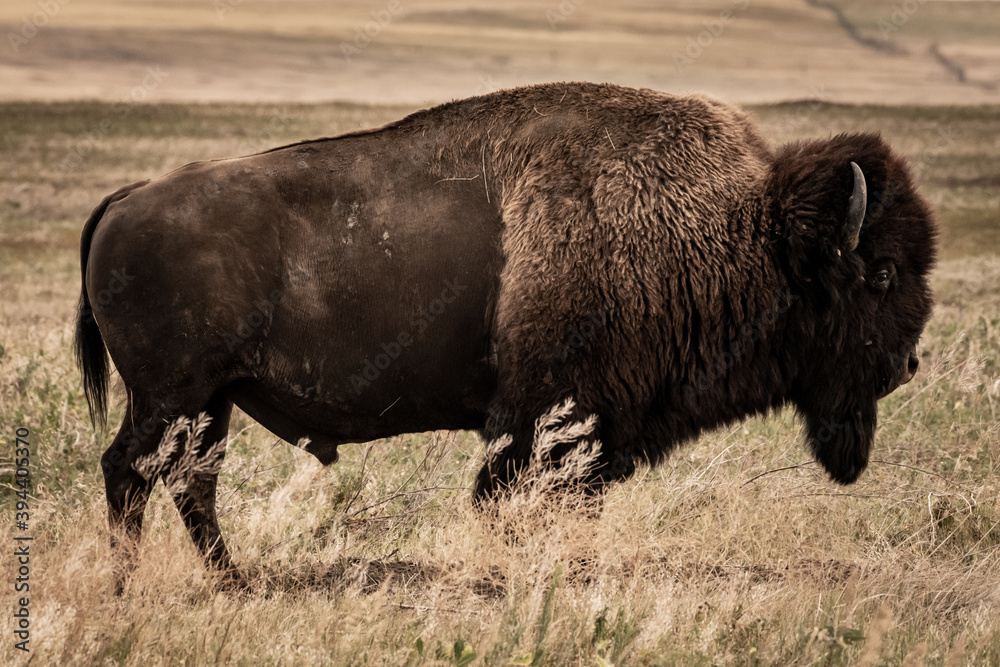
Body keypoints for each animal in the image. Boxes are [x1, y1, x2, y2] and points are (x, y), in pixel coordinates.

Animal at [78, 81, 936, 576]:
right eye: (882, 274)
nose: (908, 365)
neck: (737, 228)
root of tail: (127, 197)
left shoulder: (581, 434)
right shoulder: (547, 422)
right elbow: (518, 502)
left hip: (210, 401)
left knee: (187, 481)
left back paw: (234, 584)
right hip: (172, 395)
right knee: (132, 470)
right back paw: (134, 586)